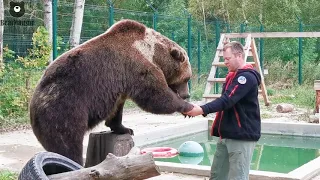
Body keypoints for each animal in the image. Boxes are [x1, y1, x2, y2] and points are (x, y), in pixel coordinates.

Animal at [30, 19, 194, 165]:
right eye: (187, 78)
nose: (186, 95)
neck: (154, 54)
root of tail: (34, 101)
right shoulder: (138, 66)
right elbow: (156, 96)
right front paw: (188, 107)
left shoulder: (120, 86)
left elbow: (116, 110)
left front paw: (126, 129)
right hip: (65, 106)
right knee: (67, 141)